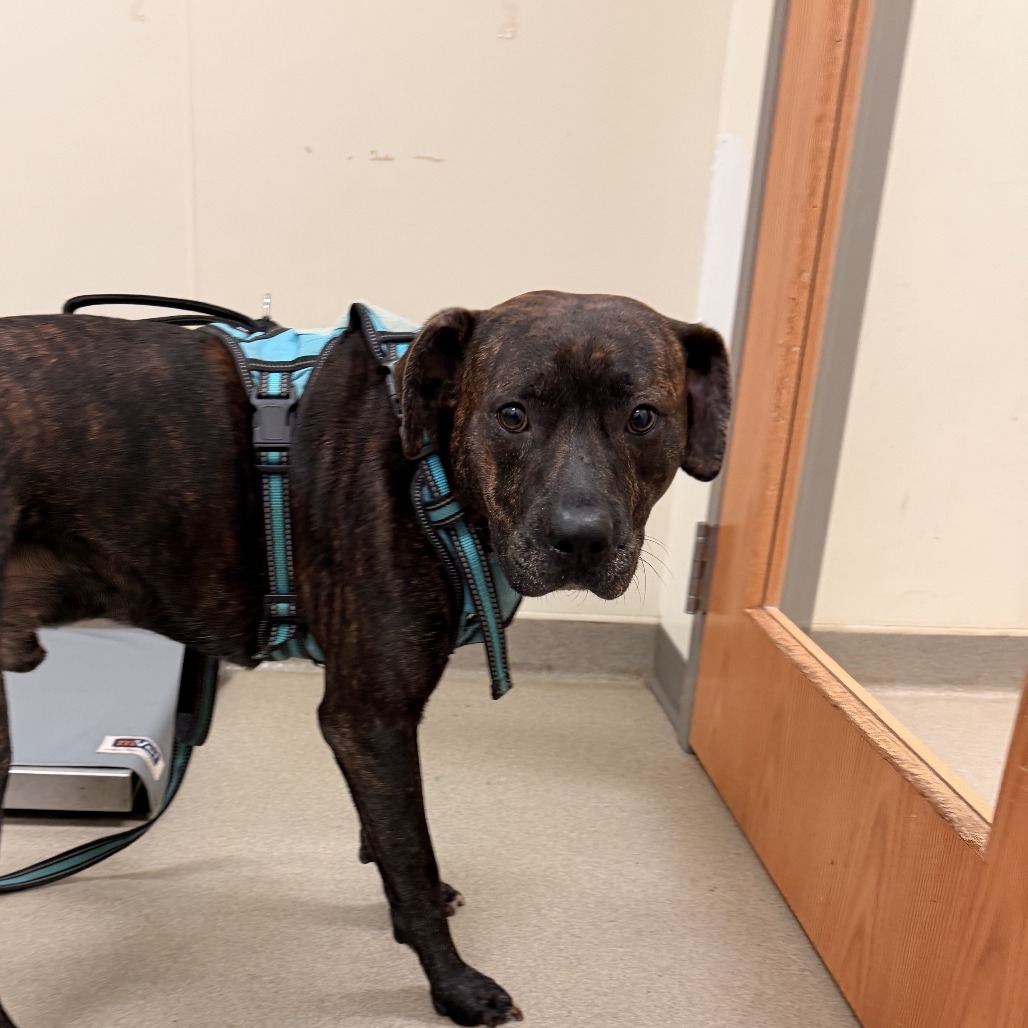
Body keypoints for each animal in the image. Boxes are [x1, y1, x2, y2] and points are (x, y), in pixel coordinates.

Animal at [0, 290, 730, 1026]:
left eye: (642, 417)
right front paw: (454, 985)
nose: (580, 539)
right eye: (513, 414)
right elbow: (410, 856)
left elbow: (387, 842)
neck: (429, 462)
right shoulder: (371, 719)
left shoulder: (363, 722)